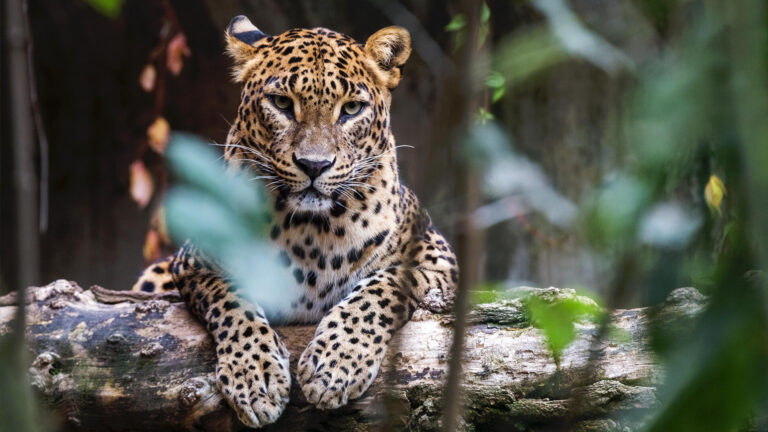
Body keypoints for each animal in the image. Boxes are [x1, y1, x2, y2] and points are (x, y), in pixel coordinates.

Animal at [131, 16, 456, 428]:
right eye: (282, 103)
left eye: (351, 109)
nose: (314, 165)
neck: (311, 230)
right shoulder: (194, 262)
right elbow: (233, 301)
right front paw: (255, 379)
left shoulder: (437, 258)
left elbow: (380, 289)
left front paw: (334, 366)